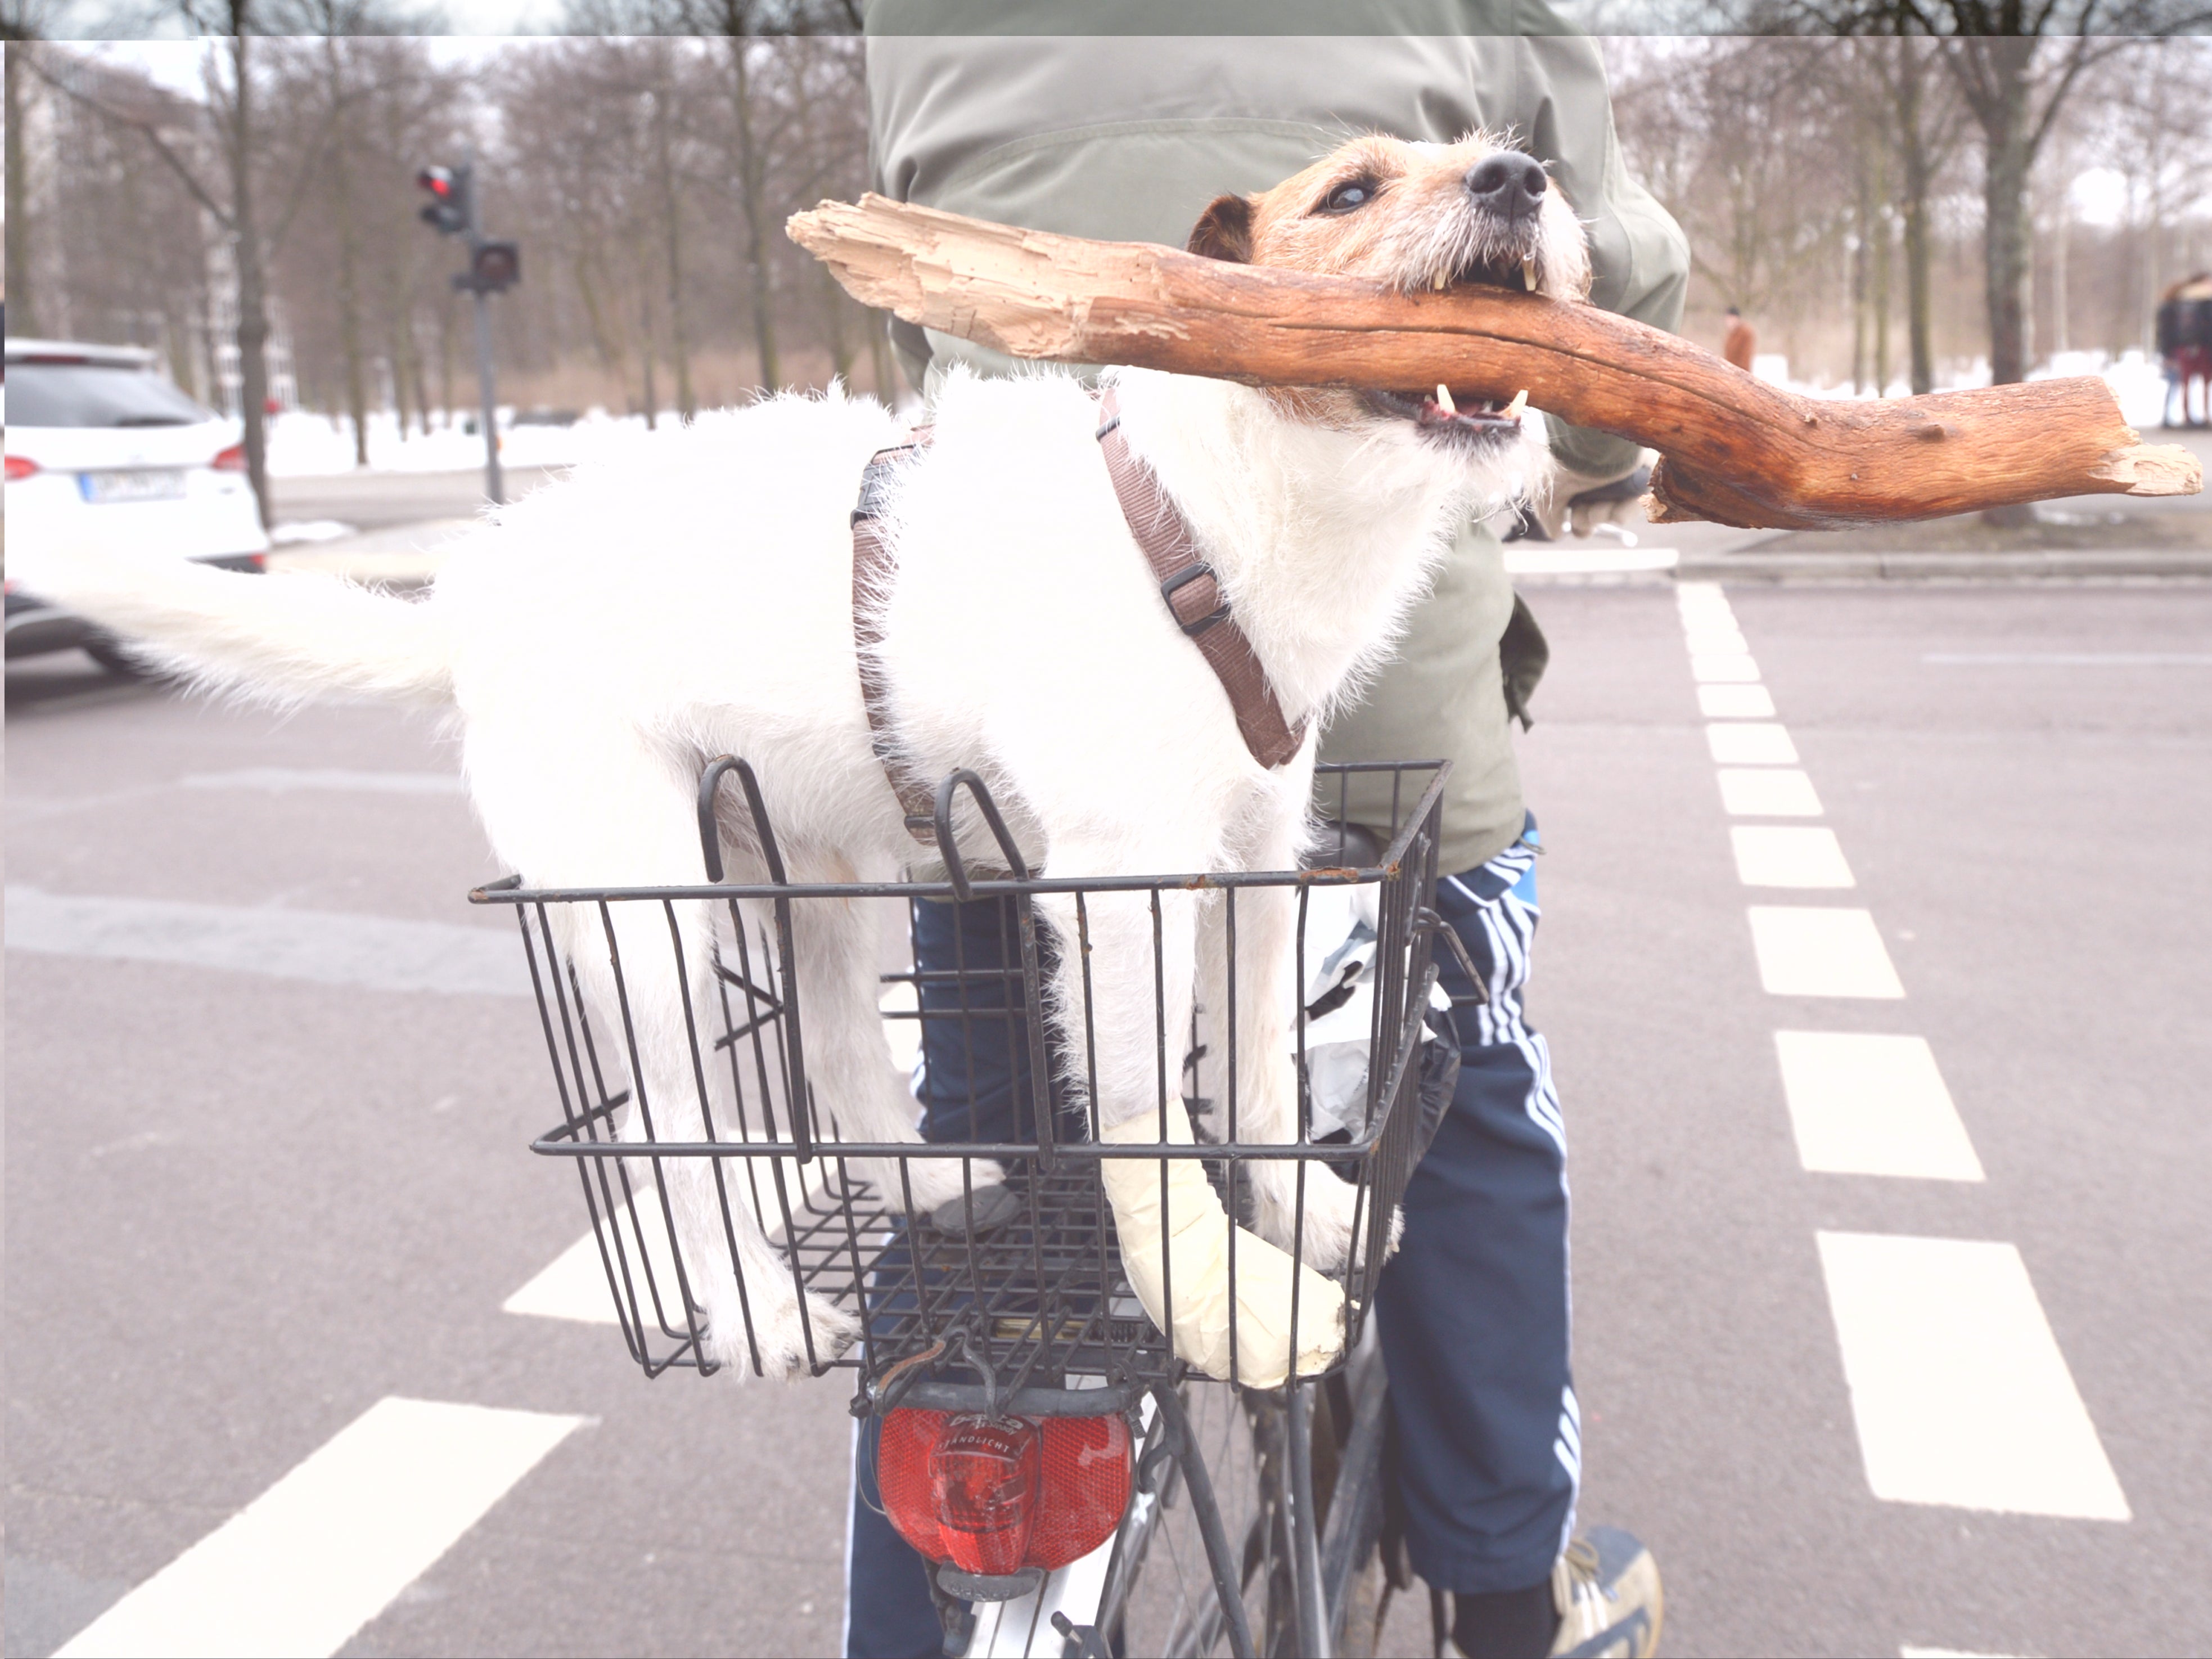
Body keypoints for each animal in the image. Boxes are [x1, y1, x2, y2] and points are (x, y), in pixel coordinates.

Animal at [26, 136, 1601, 1389]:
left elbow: (1265, 1077)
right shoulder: (1113, 886)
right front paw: (1218, 1296)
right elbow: (1142, 1106)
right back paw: (758, 1310)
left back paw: (926, 1176)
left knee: (840, 1056)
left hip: (813, 868)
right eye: (1349, 191)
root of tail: (467, 602)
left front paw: (1305, 1219)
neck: (1203, 524)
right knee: (677, 1130)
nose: (1520, 175)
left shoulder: (1260, 862)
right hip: (645, 920)